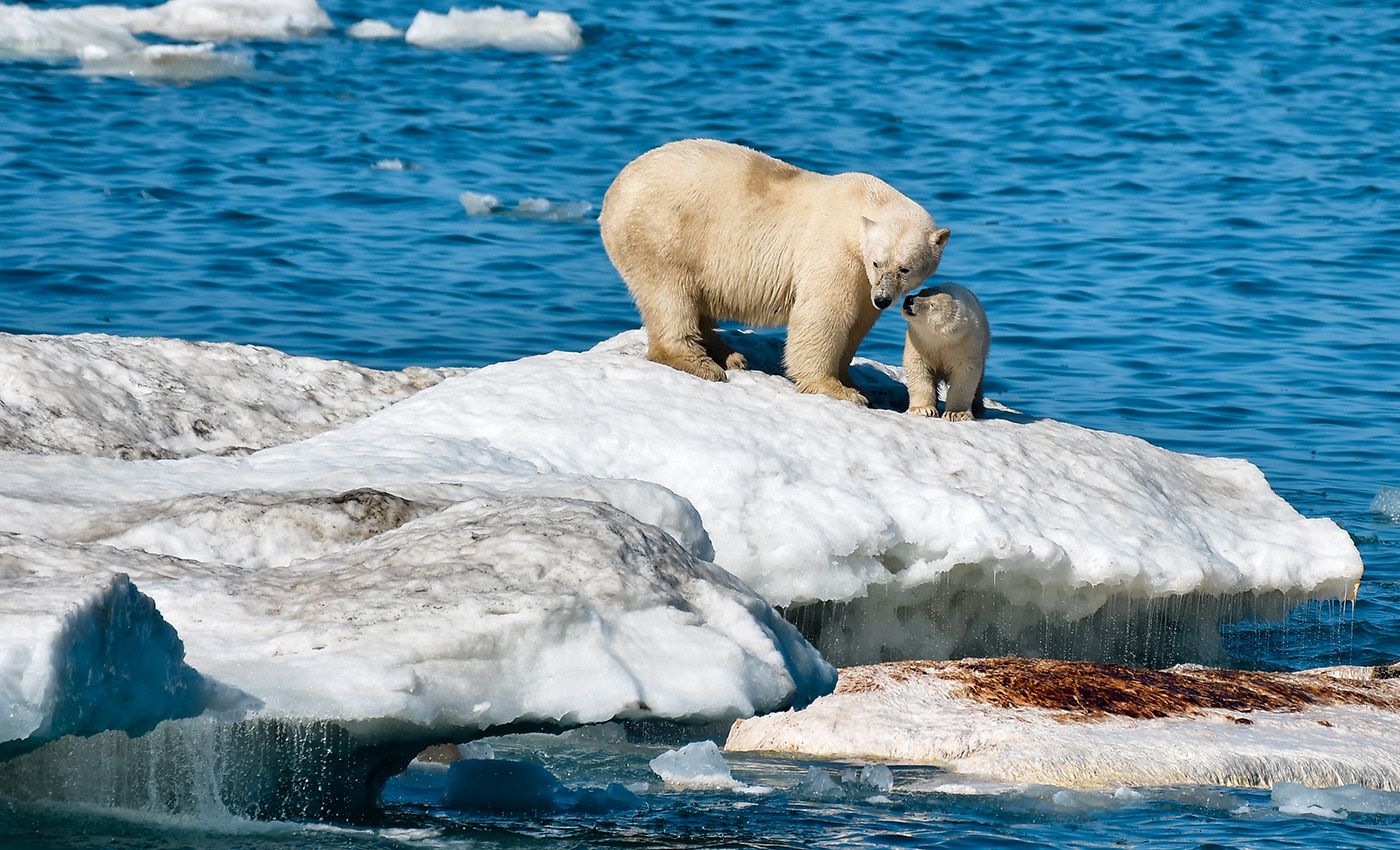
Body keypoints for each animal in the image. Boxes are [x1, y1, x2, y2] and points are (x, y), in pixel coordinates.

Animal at [602, 138, 952, 406]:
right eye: (879, 262)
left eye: (905, 268)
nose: (883, 299)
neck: (861, 205)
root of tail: (615, 188)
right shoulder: (833, 251)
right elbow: (825, 314)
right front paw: (838, 389)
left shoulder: (860, 277)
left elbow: (858, 323)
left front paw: (851, 379)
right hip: (661, 232)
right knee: (669, 294)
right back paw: (699, 362)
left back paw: (728, 354)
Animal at [901, 284, 991, 420]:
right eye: (922, 292)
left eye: (932, 305)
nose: (909, 299)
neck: (942, 339)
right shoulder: (919, 341)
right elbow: (917, 367)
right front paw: (923, 409)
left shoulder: (966, 343)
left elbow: (965, 373)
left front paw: (956, 413)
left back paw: (977, 407)